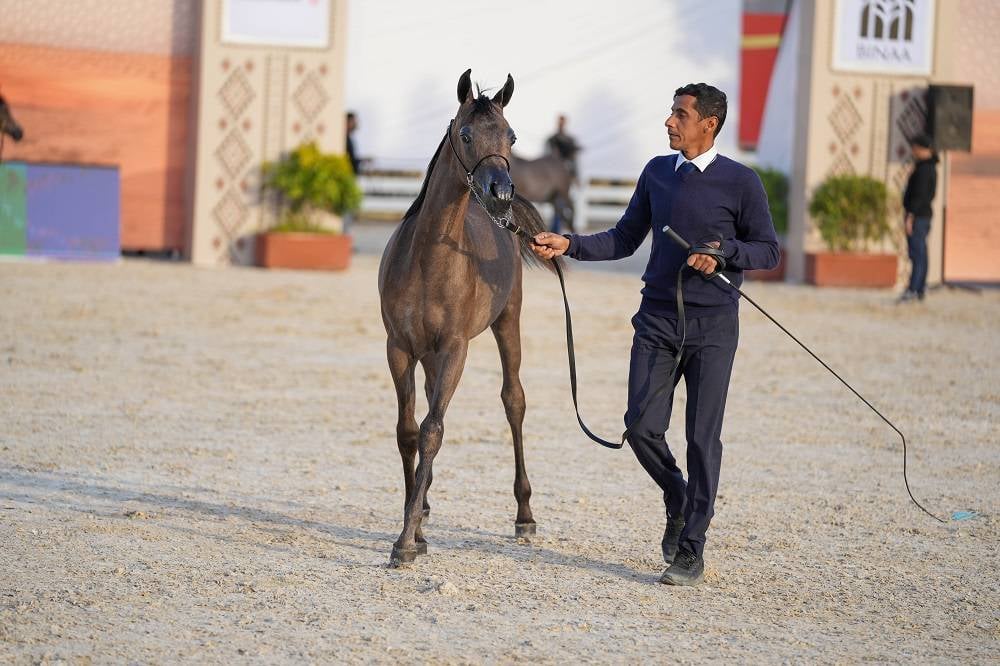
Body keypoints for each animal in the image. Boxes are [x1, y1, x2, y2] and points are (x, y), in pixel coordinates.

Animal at [378, 70, 560, 564]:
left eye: (511, 136)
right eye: (464, 134)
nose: (501, 193)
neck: (429, 262)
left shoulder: (455, 349)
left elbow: (432, 431)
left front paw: (407, 540)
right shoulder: (398, 348)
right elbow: (408, 431)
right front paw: (415, 521)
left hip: (507, 322)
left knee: (514, 400)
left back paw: (524, 515)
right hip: (428, 355)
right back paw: (425, 503)